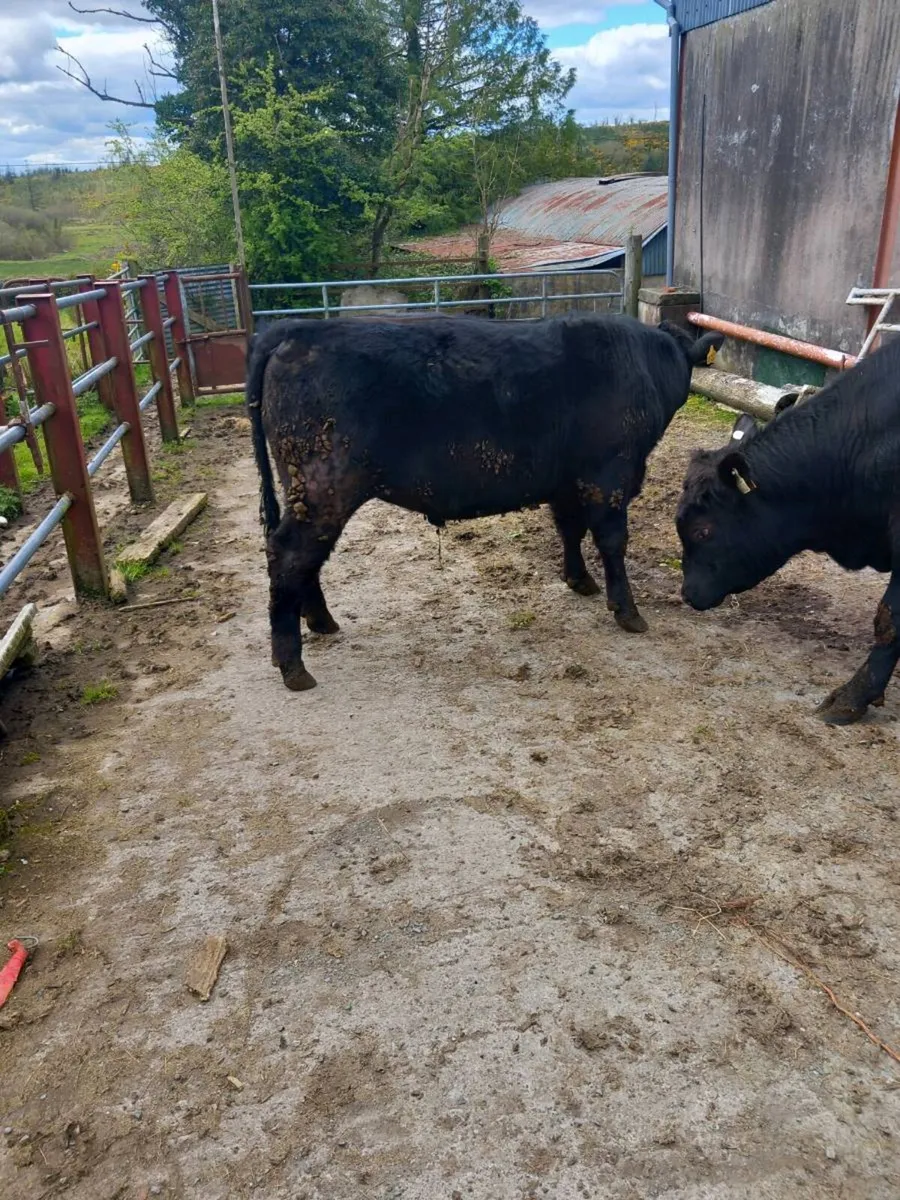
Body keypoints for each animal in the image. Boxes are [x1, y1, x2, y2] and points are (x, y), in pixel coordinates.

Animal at [247, 314, 724, 691]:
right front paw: (627, 611)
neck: (645, 362)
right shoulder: (609, 475)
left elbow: (569, 529)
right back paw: (292, 665)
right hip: (325, 484)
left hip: (305, 491)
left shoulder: (567, 481)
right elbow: (612, 541)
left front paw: (579, 580)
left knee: (304, 557)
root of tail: (295, 329)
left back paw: (321, 622)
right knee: (289, 554)